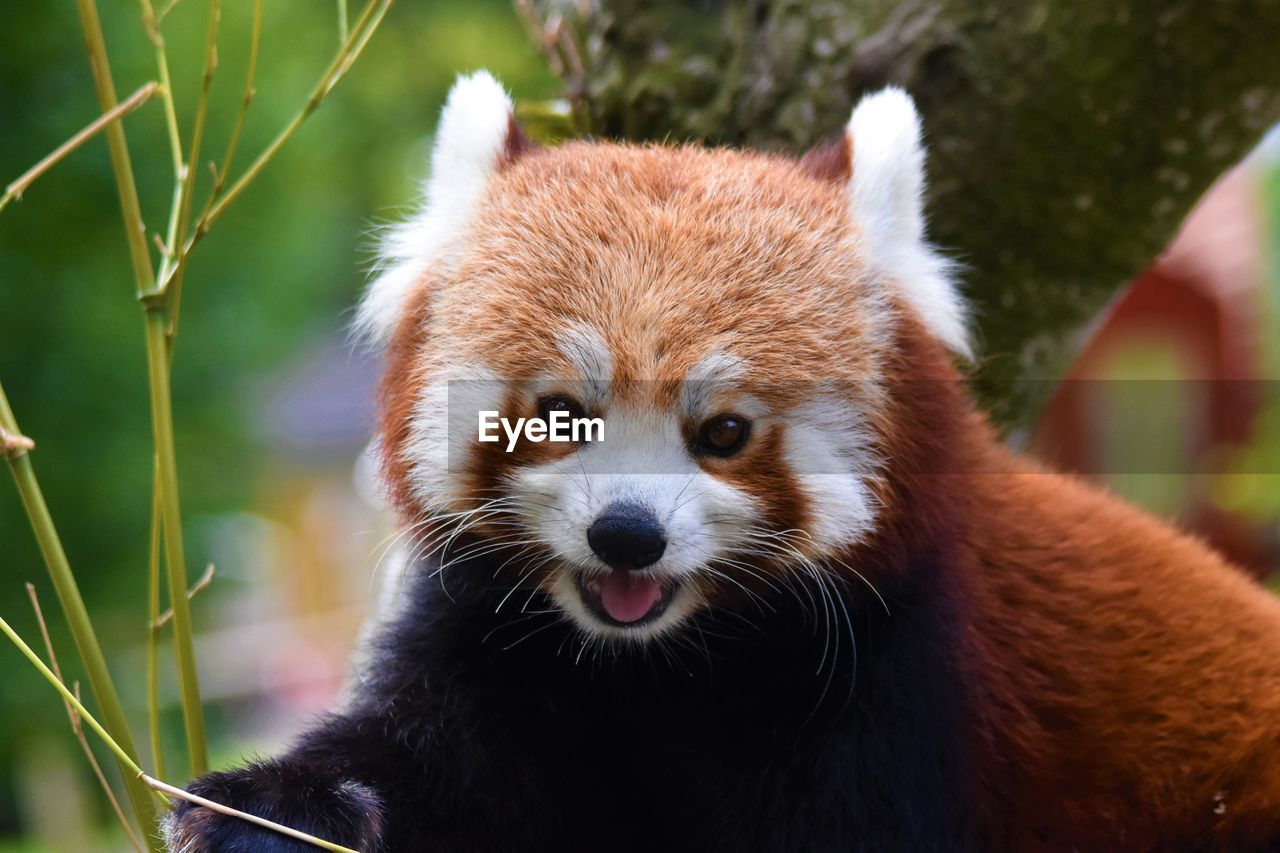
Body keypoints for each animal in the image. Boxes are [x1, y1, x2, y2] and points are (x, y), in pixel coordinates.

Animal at [167, 71, 1280, 850]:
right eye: (560, 414)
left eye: (724, 432)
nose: (626, 535)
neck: (665, 665)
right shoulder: (489, 642)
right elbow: (418, 762)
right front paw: (271, 809)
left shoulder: (896, 680)